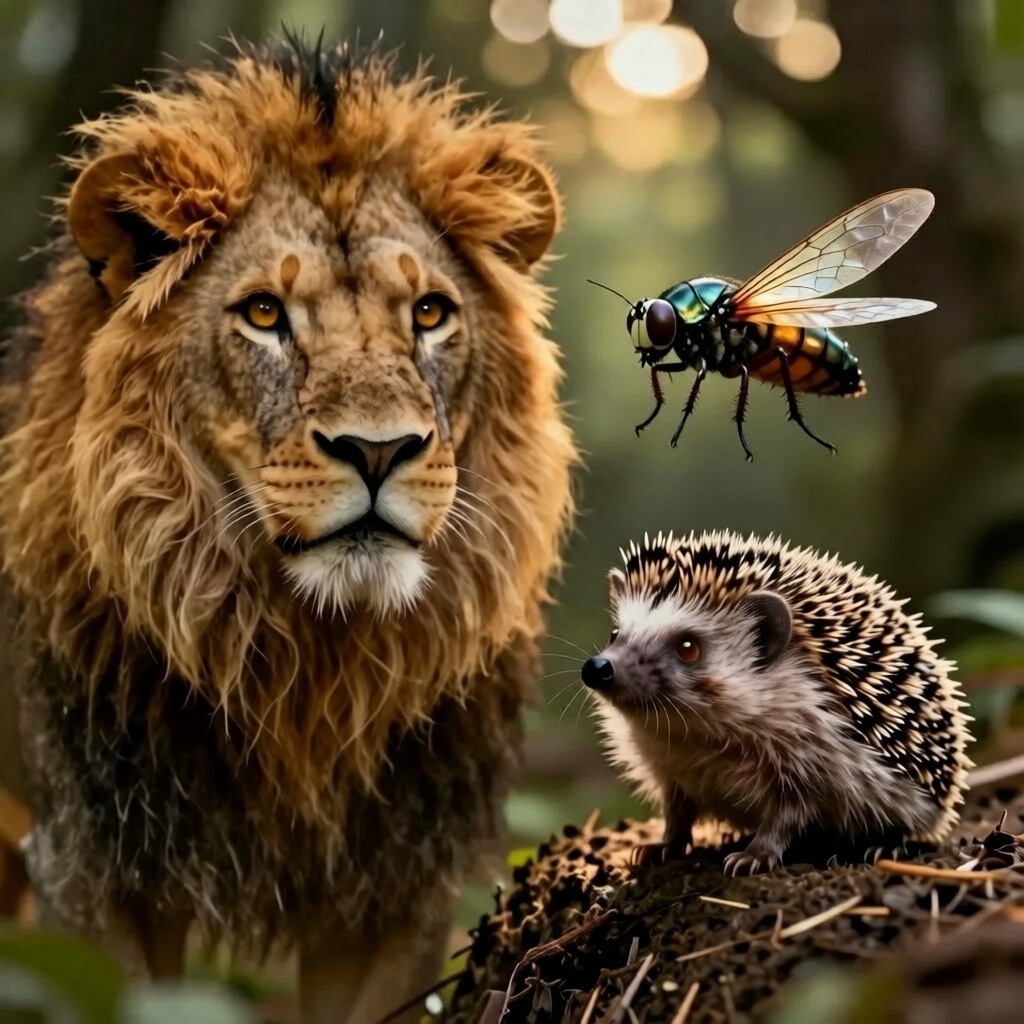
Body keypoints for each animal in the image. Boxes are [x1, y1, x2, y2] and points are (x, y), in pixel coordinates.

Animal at [0, 37, 576, 1024]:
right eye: (265, 313)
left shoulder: (394, 890)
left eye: (429, 314)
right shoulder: (91, 867)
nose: (378, 450)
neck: (311, 661)